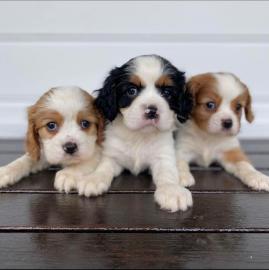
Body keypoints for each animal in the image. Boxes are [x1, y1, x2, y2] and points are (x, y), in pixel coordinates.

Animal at [77, 54, 193, 211]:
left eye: (167, 92)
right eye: (131, 91)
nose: (151, 111)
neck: (139, 135)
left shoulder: (163, 156)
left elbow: (167, 173)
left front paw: (172, 191)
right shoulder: (113, 155)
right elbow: (104, 167)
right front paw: (94, 179)